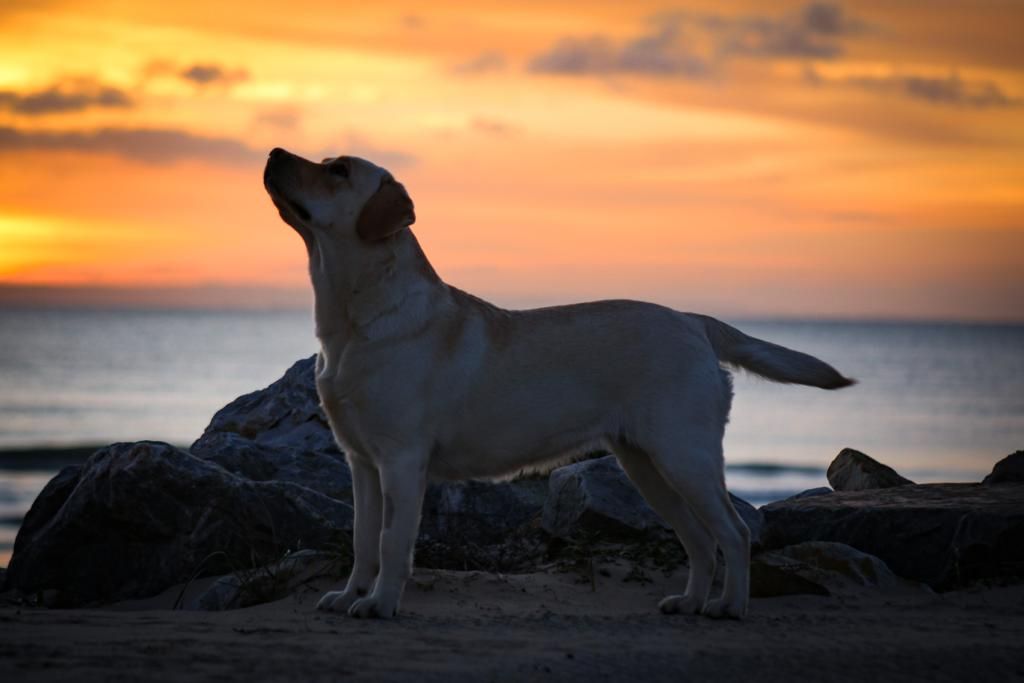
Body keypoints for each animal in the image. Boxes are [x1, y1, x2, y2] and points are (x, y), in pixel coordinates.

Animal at [260, 149, 851, 618]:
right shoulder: (360, 462)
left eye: (338, 170)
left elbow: (390, 542)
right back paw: (689, 602)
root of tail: (692, 320)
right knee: (700, 539)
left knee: (734, 532)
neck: (354, 319)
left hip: (685, 455)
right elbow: (363, 540)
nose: (273, 152)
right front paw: (348, 595)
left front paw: (380, 604)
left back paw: (729, 606)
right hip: (646, 466)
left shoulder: (402, 461)